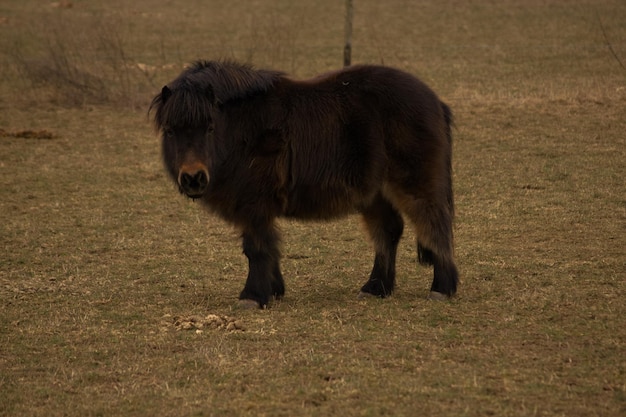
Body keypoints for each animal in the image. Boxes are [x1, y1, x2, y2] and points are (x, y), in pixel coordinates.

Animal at [149, 60, 456, 308]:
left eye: (210, 128)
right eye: (171, 131)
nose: (193, 178)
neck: (242, 131)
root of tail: (434, 100)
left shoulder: (254, 204)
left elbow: (256, 248)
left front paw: (253, 296)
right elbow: (269, 247)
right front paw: (274, 290)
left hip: (415, 184)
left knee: (434, 226)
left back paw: (442, 289)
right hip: (375, 193)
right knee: (388, 232)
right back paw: (375, 288)